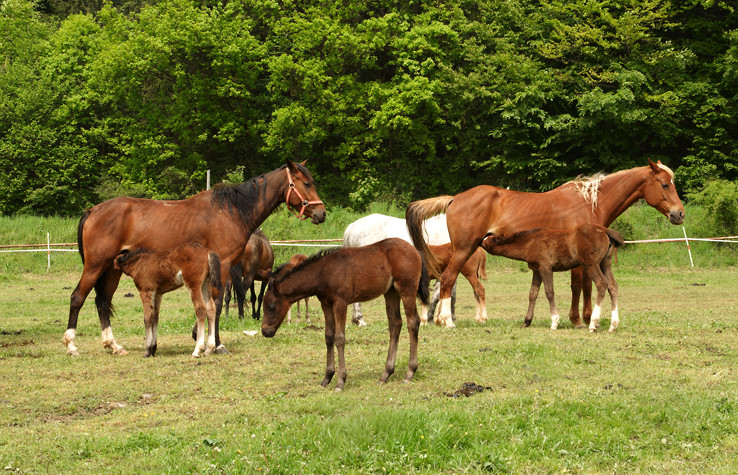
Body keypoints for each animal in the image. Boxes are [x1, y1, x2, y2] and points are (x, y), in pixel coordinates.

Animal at [61, 161, 326, 356]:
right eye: (305, 183)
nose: (321, 213)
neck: (229, 212)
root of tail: (93, 210)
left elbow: (208, 305)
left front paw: (201, 339)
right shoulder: (224, 265)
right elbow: (216, 304)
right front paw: (215, 344)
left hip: (112, 270)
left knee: (102, 301)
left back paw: (113, 345)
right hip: (95, 266)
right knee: (77, 298)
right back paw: (72, 345)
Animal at [260, 240, 428, 392]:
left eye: (271, 307)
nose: (265, 331)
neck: (323, 273)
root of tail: (415, 250)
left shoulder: (340, 303)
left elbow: (339, 338)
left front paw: (340, 381)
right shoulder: (326, 304)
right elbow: (328, 336)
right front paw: (327, 377)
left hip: (407, 288)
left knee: (412, 322)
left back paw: (409, 373)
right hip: (390, 292)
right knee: (395, 324)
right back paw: (385, 375)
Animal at [480, 225, 624, 332]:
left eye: (488, 240)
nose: (479, 241)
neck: (530, 242)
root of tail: (605, 231)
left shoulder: (545, 268)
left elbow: (549, 292)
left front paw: (554, 322)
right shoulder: (536, 270)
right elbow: (533, 293)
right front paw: (526, 322)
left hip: (591, 264)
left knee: (601, 283)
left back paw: (593, 323)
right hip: (605, 262)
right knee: (613, 285)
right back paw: (613, 325)